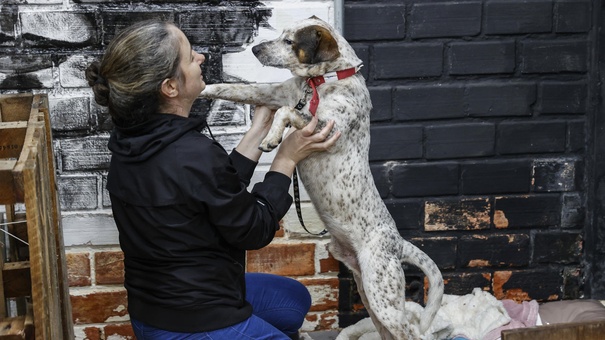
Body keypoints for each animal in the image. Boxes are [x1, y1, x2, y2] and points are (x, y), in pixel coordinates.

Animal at [201, 16, 442, 340]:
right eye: (282, 34)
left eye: (290, 41)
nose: (255, 49)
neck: (322, 82)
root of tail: (398, 243)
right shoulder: (272, 93)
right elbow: (230, 88)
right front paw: (198, 87)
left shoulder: (326, 128)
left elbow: (286, 113)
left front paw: (272, 138)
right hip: (370, 294)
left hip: (384, 298)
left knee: (414, 332)